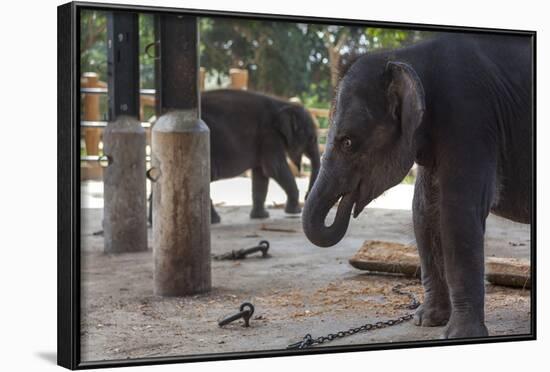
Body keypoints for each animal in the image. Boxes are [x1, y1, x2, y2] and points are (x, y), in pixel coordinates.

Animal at [302, 34, 536, 340]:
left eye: (348, 142)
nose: (347, 205)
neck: (405, 56)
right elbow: (424, 212)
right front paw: (426, 321)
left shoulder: (469, 116)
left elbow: (458, 212)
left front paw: (459, 335)